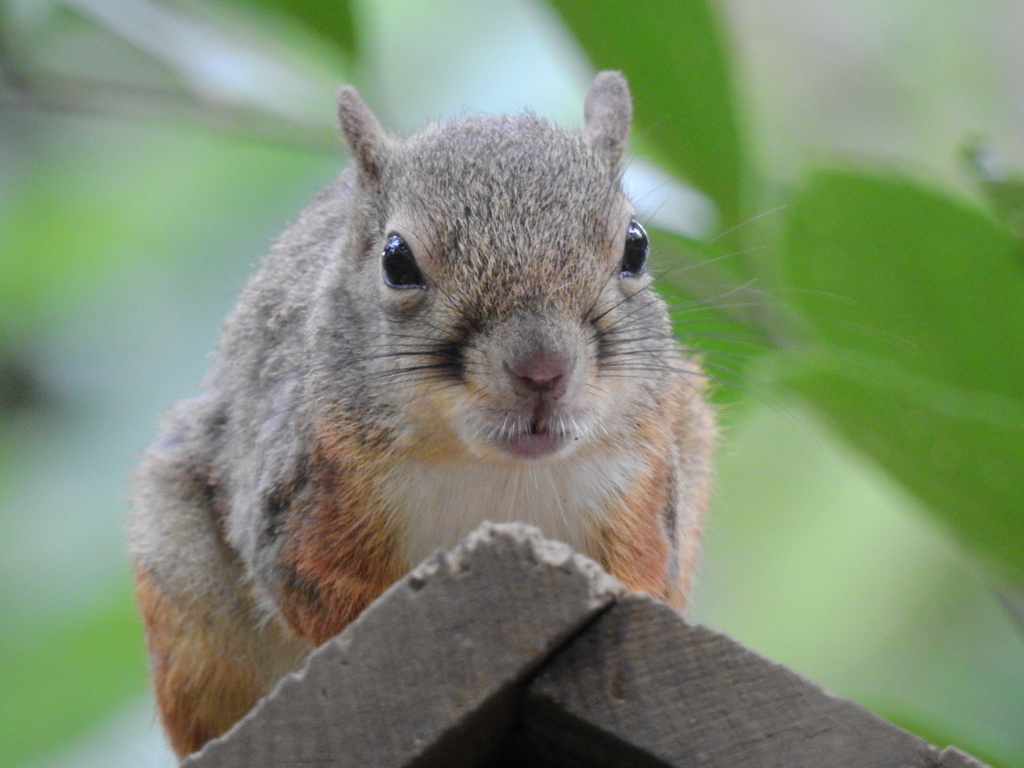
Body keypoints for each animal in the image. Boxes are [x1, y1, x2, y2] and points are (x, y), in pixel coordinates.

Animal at [130, 70, 712, 757]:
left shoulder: (640, 490)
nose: (543, 369)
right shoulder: (297, 498)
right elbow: (326, 600)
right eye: (396, 260)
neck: (493, 473)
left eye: (636, 247)